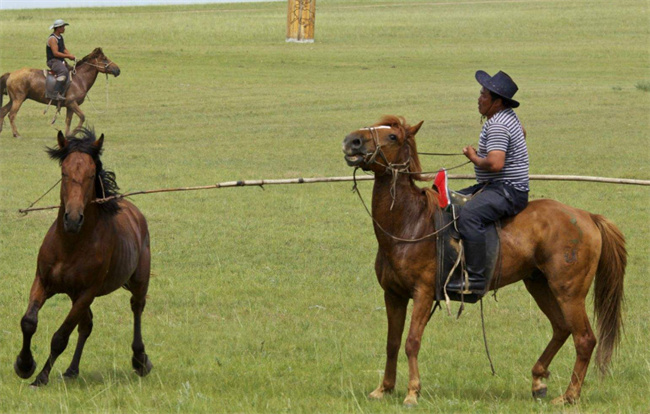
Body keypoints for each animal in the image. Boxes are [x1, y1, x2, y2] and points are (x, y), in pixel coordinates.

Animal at [15, 129, 153, 384]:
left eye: (90, 174)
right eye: (64, 173)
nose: (72, 218)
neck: (70, 245)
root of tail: (135, 214)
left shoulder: (87, 293)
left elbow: (60, 337)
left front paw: (40, 378)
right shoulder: (43, 282)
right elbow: (29, 322)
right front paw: (24, 365)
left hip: (139, 280)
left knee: (137, 308)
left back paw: (140, 360)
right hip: (73, 294)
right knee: (86, 325)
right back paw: (72, 370)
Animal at [342, 115, 624, 406]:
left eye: (393, 137)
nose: (352, 140)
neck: (411, 222)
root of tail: (587, 216)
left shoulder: (423, 293)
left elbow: (412, 341)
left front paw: (412, 392)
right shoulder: (393, 294)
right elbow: (393, 342)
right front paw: (384, 388)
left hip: (569, 292)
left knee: (584, 338)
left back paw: (569, 396)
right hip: (539, 285)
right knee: (561, 328)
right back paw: (538, 380)